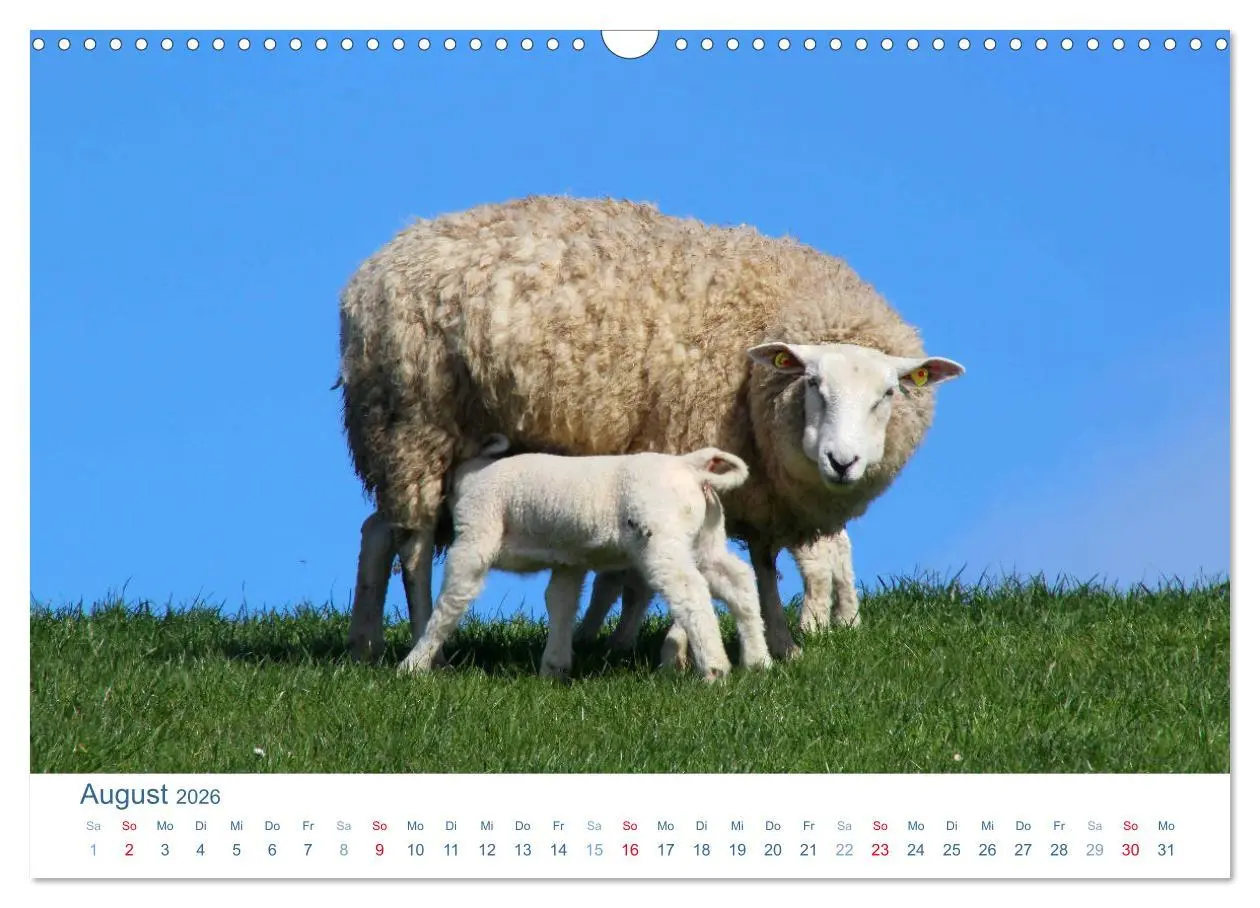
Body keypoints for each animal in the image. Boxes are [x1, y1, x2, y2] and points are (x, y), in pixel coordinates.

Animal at [394, 435, 772, 681]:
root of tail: (690, 467)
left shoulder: (476, 535)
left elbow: (452, 601)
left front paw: (414, 664)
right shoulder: (568, 559)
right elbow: (560, 602)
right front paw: (554, 669)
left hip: (662, 538)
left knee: (690, 591)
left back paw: (715, 670)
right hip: (705, 538)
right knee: (737, 580)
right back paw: (759, 660)